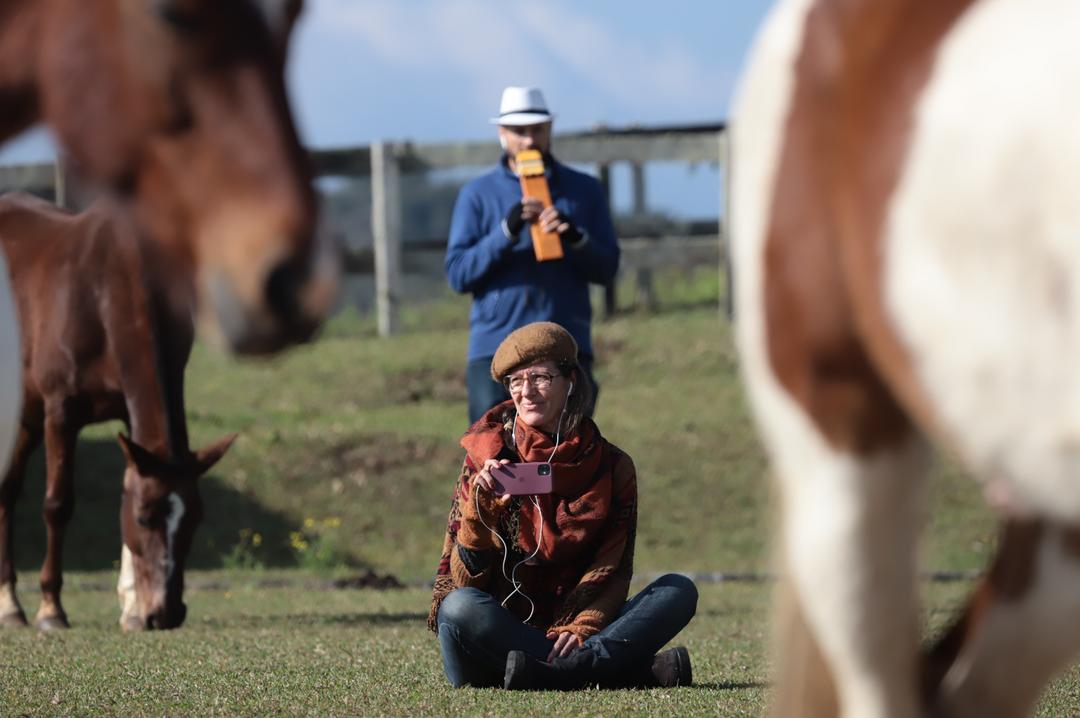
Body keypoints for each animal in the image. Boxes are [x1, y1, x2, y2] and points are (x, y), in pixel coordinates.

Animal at [0, 194, 235, 626]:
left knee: (7, 490)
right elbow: (57, 504)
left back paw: (9, 603)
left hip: (26, 417)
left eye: (195, 519)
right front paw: (51, 608)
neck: (104, 294)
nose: (167, 613)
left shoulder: (130, 413)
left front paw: (132, 607)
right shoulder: (60, 412)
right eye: (143, 517)